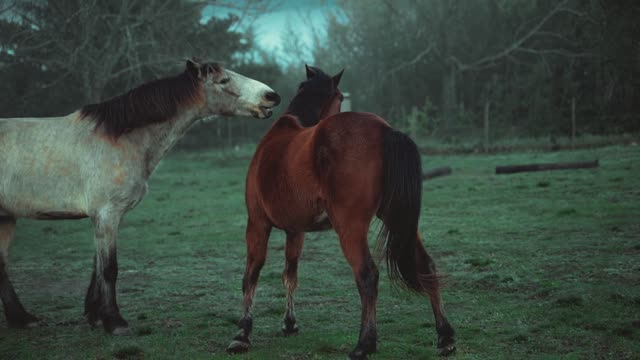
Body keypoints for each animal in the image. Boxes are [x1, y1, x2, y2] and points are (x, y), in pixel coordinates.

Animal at [0, 57, 280, 334]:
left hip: (6, 219)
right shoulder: (107, 214)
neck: (119, 138)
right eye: (223, 80)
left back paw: (21, 318)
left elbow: (97, 269)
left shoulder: (106, 217)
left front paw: (95, 316)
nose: (271, 96)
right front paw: (114, 322)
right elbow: (109, 269)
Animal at [228, 65, 458, 360]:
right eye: (339, 97)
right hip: (399, 220)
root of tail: (385, 130)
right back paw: (445, 336)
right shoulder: (295, 230)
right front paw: (289, 323)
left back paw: (364, 344)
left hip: (349, 228)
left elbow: (251, 276)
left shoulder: (257, 223)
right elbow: (290, 275)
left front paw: (242, 334)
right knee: (426, 265)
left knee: (367, 275)